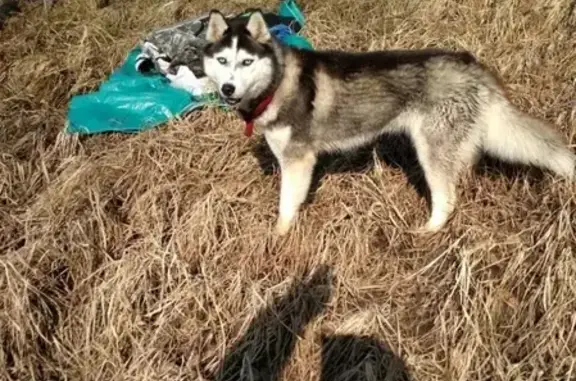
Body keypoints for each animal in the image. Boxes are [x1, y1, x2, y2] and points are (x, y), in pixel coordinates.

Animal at [201, 8, 576, 235]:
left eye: (247, 62)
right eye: (222, 60)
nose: (228, 88)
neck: (277, 82)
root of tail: (474, 66)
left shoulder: (298, 160)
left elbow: (286, 205)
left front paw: (279, 236)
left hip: (430, 149)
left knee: (447, 198)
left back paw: (429, 230)